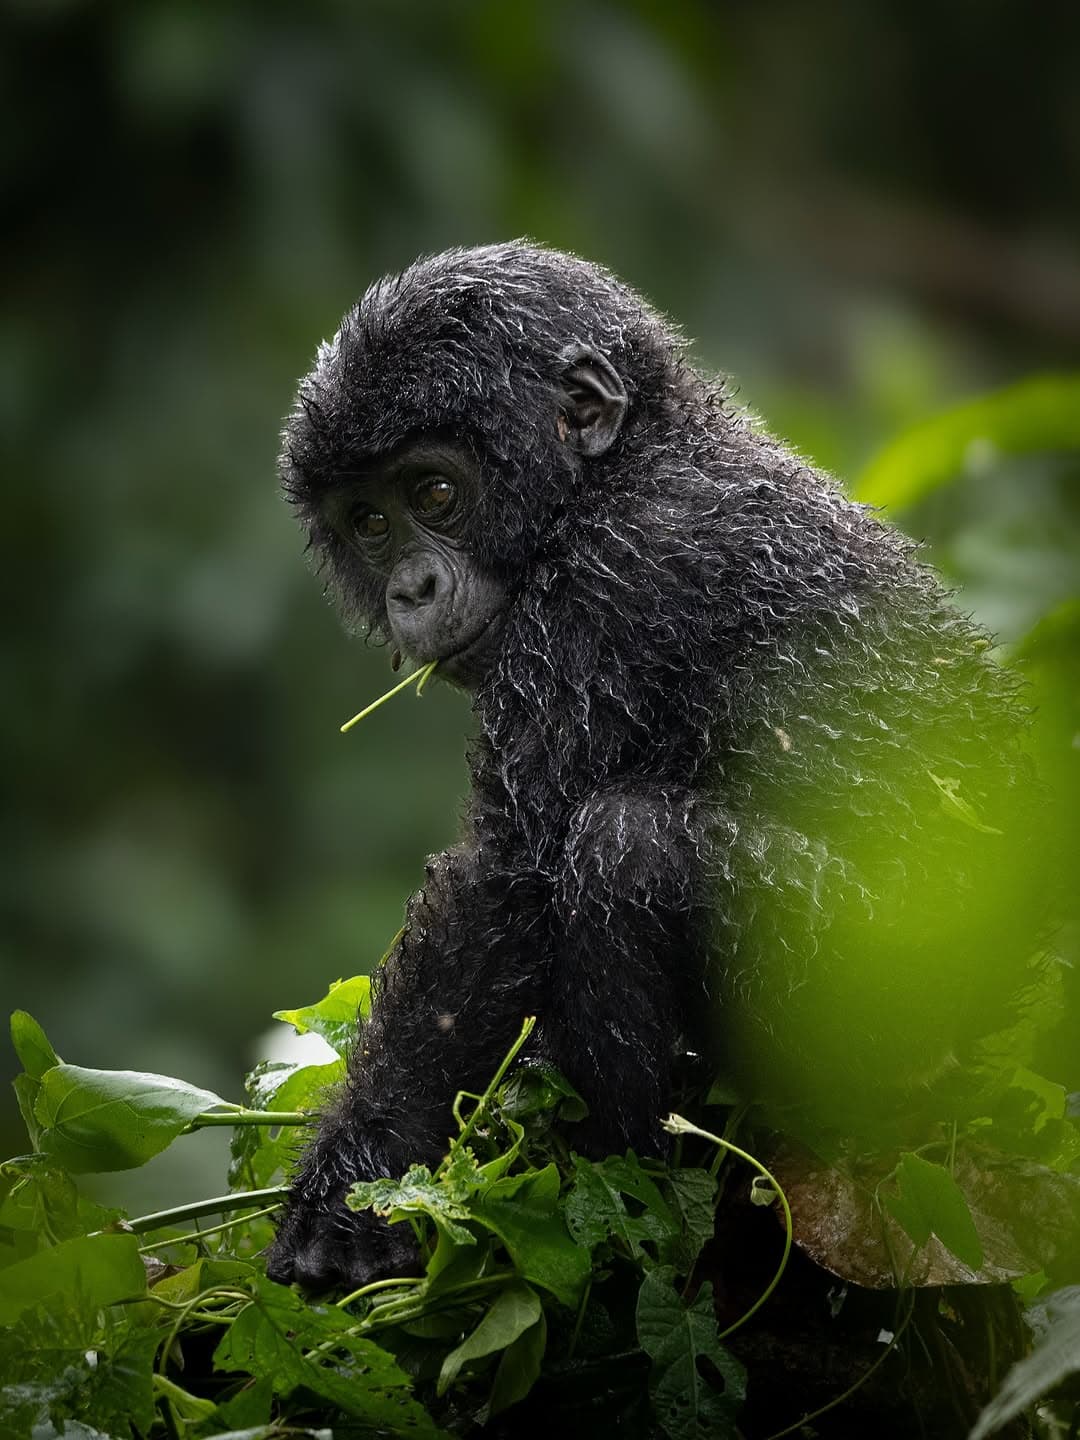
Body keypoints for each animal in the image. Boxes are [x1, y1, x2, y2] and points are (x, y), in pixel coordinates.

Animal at [265, 242, 1032, 1291]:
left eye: (435, 495)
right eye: (368, 523)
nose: (410, 587)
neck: (630, 457)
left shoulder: (607, 586)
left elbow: (505, 884)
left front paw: (345, 1193)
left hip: (897, 1029)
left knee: (627, 848)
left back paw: (625, 1171)